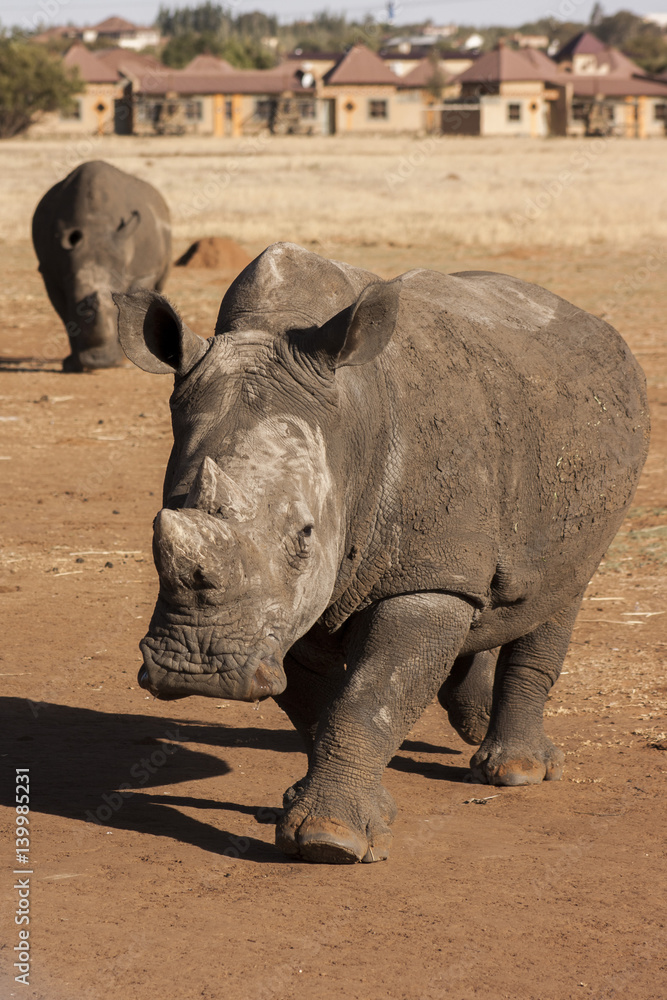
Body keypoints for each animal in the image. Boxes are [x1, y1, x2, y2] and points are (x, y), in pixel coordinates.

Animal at [114, 243, 649, 864]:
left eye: (304, 535)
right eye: (162, 520)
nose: (197, 667)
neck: (351, 415)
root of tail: (596, 324)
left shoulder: (421, 576)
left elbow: (373, 692)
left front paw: (330, 842)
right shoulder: (288, 605)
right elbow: (320, 701)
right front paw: (327, 808)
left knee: (561, 591)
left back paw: (515, 773)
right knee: (488, 592)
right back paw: (475, 721)